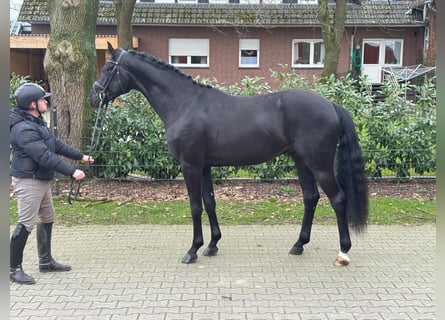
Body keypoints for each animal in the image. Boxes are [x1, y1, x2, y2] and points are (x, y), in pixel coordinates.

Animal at [87, 43, 368, 268]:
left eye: (107, 68)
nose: (93, 98)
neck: (184, 103)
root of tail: (331, 105)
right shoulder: (204, 166)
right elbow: (210, 202)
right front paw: (212, 245)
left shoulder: (190, 165)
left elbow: (195, 206)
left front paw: (192, 250)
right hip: (302, 162)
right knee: (311, 198)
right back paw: (298, 245)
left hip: (319, 164)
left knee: (338, 199)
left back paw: (343, 252)